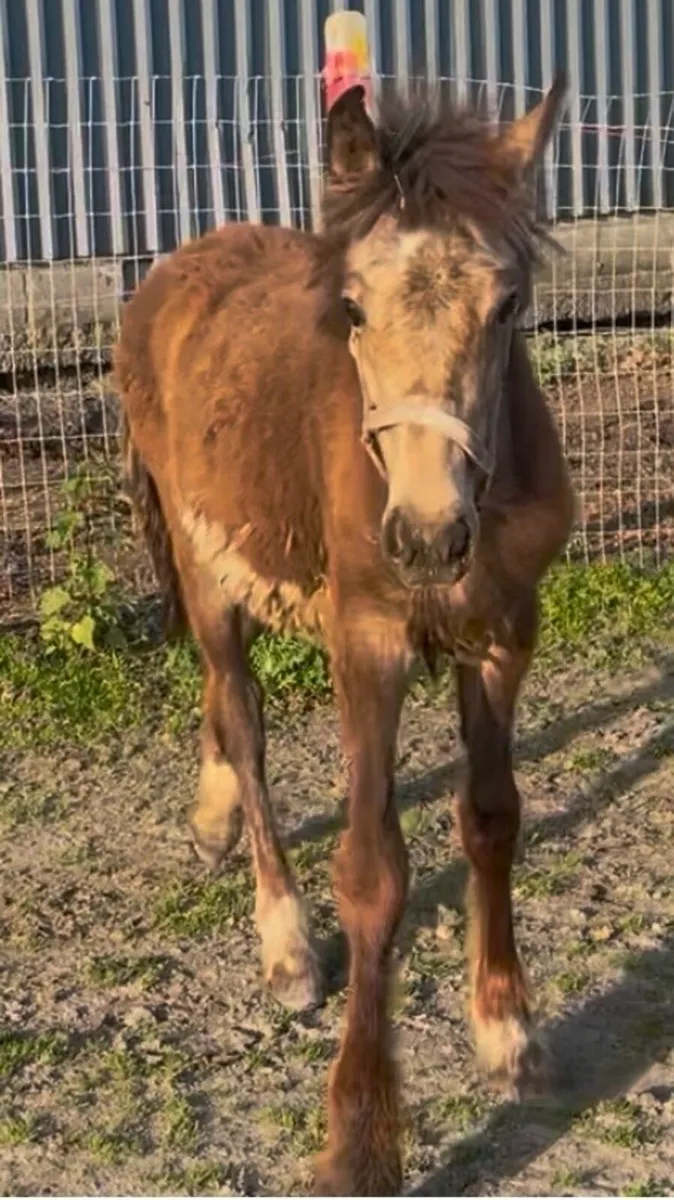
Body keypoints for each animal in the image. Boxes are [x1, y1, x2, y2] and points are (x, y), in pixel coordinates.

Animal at [114, 77, 574, 1196]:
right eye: (354, 310)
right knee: (240, 715)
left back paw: (211, 818)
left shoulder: (503, 632)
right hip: (203, 568)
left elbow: (492, 820)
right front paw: (362, 1136)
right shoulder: (366, 645)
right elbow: (372, 874)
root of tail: (173, 273)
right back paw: (282, 939)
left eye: (507, 306)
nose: (425, 536)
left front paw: (508, 1032)